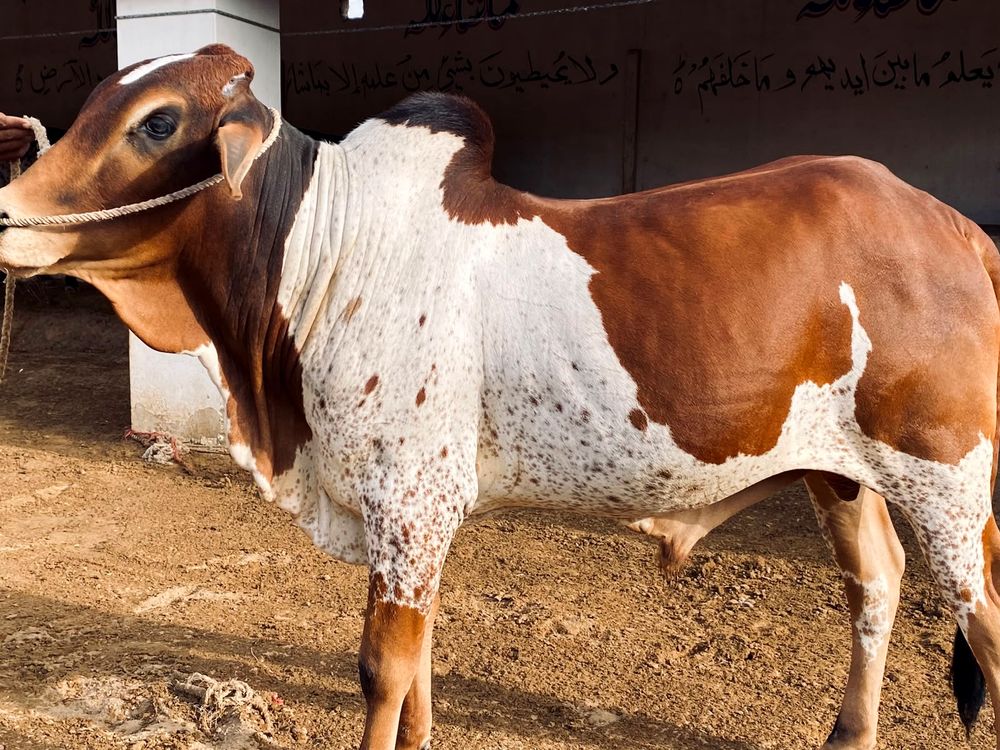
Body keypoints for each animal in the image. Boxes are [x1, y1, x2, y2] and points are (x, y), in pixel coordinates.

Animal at [0, 44, 998, 750]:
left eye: (157, 124)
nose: (8, 214)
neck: (325, 252)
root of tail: (952, 225)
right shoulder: (421, 511)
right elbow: (420, 664)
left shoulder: (407, 499)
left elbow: (383, 669)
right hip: (842, 473)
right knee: (877, 584)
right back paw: (849, 732)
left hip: (945, 478)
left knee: (978, 616)